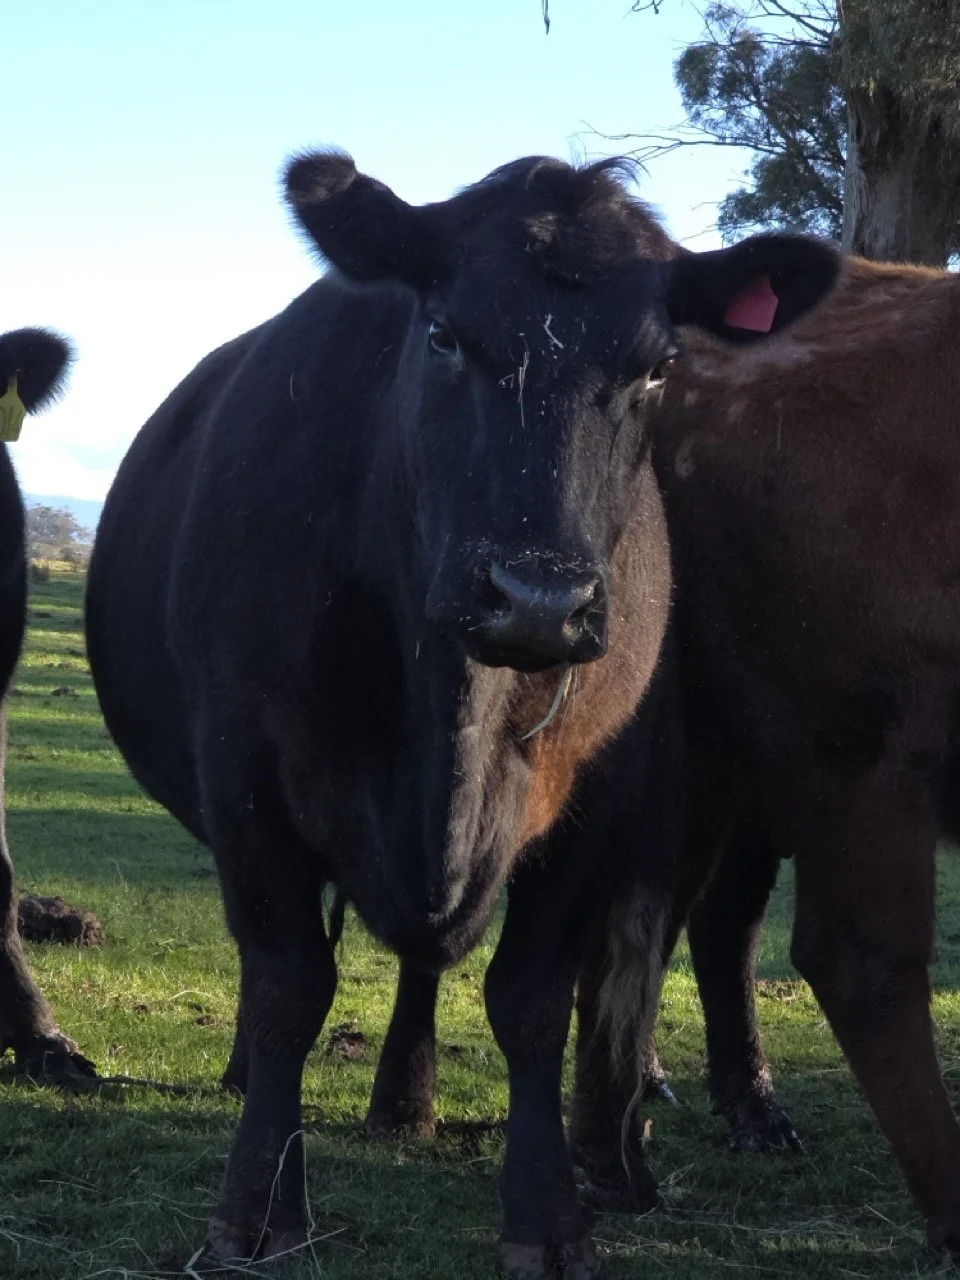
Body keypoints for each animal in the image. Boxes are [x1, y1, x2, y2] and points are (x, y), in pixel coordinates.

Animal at [84, 149, 838, 1274]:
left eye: (659, 366)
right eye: (442, 334)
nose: (537, 598)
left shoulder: (595, 792)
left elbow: (529, 999)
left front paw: (548, 1218)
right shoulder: (246, 774)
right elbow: (288, 985)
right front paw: (256, 1209)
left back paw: (405, 1096)